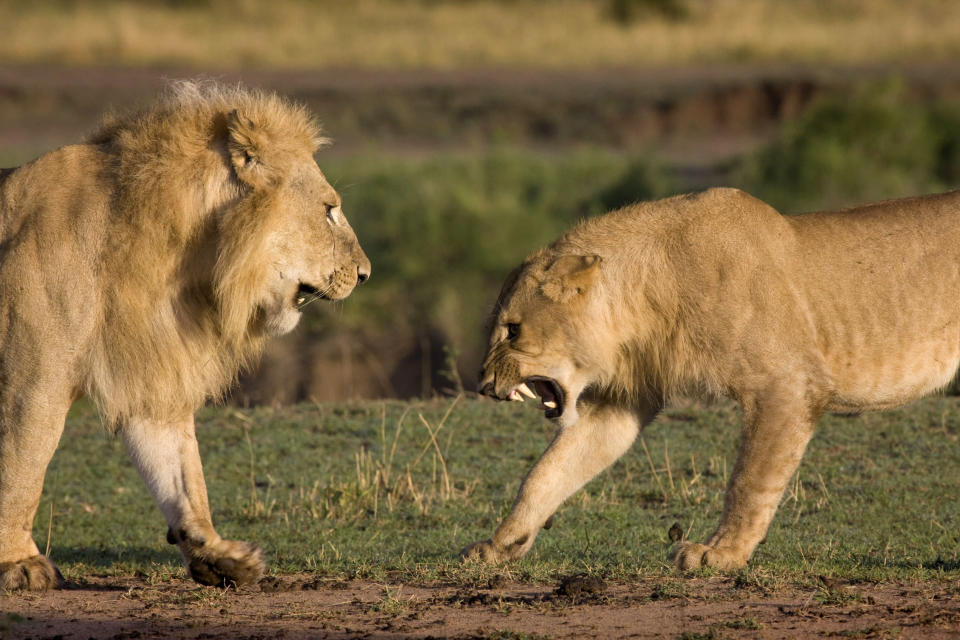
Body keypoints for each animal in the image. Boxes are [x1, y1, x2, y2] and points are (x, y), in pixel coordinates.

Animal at [0, 81, 370, 592]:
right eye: (329, 210)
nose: (365, 273)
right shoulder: (31, 378)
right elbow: (22, 463)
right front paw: (17, 562)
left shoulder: (152, 374)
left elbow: (179, 471)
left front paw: (215, 555)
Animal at [464, 189, 960, 568]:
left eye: (512, 330)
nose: (484, 385)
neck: (648, 292)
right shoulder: (620, 404)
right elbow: (549, 472)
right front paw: (501, 543)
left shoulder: (786, 383)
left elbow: (749, 480)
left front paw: (719, 555)